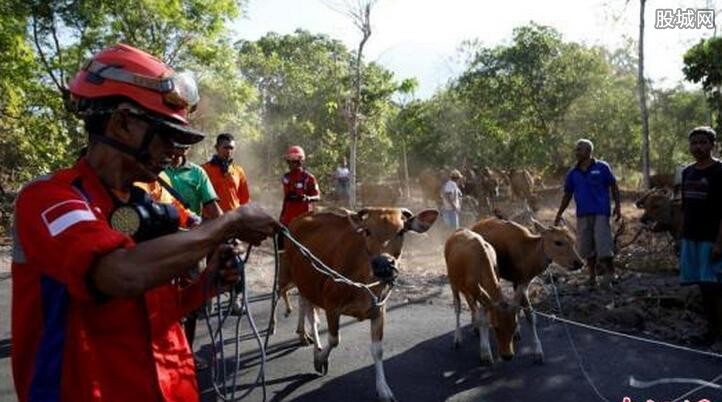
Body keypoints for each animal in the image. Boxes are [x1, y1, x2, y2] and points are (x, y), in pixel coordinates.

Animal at [282, 206, 438, 400]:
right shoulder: (331, 304)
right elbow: (334, 339)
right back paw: (309, 341)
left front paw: (383, 389)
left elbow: (377, 351)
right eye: (367, 231)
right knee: (309, 313)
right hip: (300, 281)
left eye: (401, 231)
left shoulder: (379, 311)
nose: (383, 264)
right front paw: (320, 359)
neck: (364, 281)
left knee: (309, 311)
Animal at [444, 229, 516, 364]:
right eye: (496, 328)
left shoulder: (482, 294)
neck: (482, 263)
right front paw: (486, 354)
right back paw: (457, 338)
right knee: (458, 307)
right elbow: (483, 319)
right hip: (453, 282)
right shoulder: (475, 290)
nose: (508, 356)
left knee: (471, 305)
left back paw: (475, 327)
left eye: (514, 326)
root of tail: (458, 230)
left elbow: (484, 316)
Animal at [470, 218, 584, 362]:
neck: (529, 256)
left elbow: (519, 308)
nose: (579, 263)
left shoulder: (522, 282)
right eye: (558, 242)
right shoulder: (520, 281)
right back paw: (476, 328)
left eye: (573, 240)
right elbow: (530, 315)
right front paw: (538, 351)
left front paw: (516, 331)